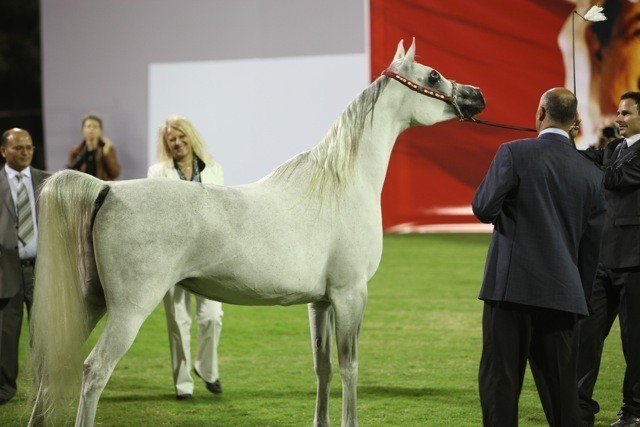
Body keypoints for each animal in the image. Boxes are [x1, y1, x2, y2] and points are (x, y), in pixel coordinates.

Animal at [28, 39, 485, 426]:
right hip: (128, 310)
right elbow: (349, 367)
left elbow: (322, 367)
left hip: (89, 301)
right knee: (93, 371)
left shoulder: (320, 302)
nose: (476, 95)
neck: (341, 185)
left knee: (53, 367)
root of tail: (107, 190)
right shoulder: (350, 295)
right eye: (433, 76)